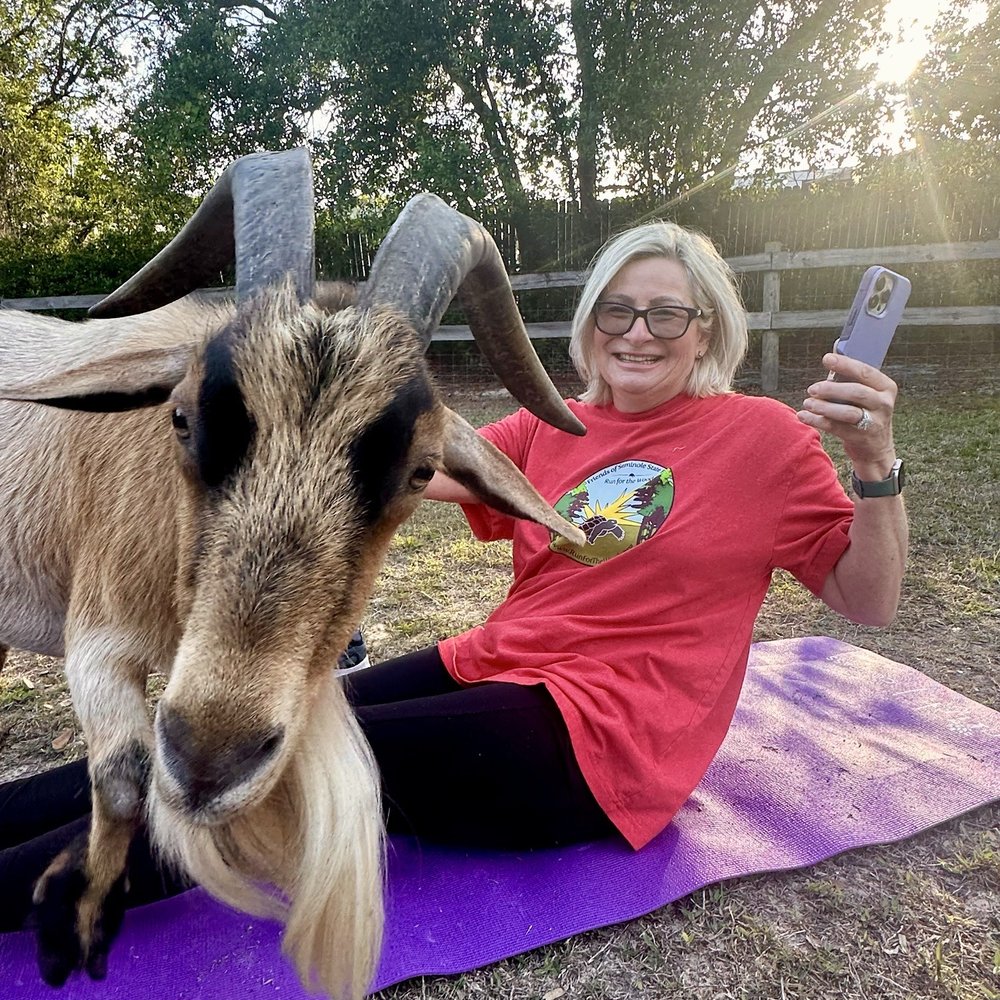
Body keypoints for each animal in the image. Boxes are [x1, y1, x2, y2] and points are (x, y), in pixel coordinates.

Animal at [0, 148, 586, 999]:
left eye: (422, 472)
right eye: (181, 417)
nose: (210, 759)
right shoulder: (97, 634)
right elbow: (125, 772)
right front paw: (77, 927)